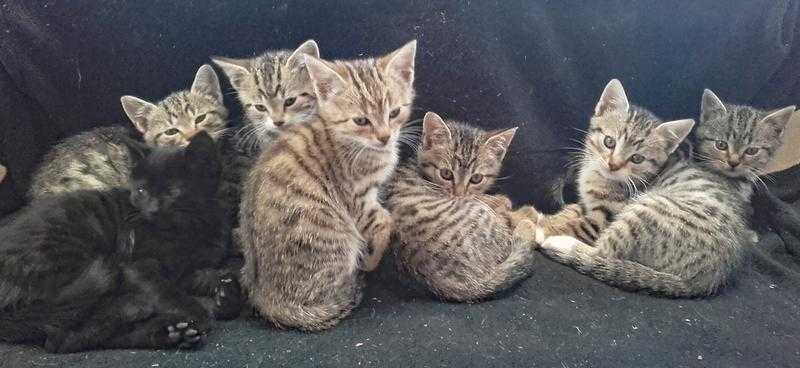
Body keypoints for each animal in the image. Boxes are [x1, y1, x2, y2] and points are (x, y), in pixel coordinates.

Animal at [0, 133, 241, 354]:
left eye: (173, 192)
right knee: (60, 336)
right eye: (142, 191)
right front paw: (198, 312)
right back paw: (138, 309)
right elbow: (164, 290)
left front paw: (225, 290)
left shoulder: (189, 269)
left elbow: (207, 274)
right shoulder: (137, 265)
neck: (190, 229)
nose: (152, 209)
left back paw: (173, 332)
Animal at [239, 40, 418, 330]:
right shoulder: (357, 198)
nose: (385, 137)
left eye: (394, 113)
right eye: (361, 120)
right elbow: (384, 223)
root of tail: (265, 299)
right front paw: (372, 259)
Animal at [536, 79, 756, 298]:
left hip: (647, 210)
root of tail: (707, 279)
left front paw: (541, 229)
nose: (613, 165)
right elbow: (571, 210)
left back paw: (561, 244)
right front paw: (545, 218)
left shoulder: (606, 215)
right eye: (609, 142)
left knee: (604, 253)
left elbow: (579, 225)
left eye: (637, 158)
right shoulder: (586, 203)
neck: (600, 176)